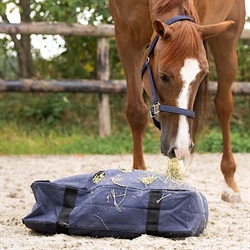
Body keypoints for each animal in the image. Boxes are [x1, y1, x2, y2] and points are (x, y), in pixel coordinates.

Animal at [108, 0, 245, 202]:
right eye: (163, 76)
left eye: (202, 76)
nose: (179, 148)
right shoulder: (126, 36)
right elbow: (136, 112)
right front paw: (139, 173)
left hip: (227, 40)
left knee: (224, 105)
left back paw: (229, 184)